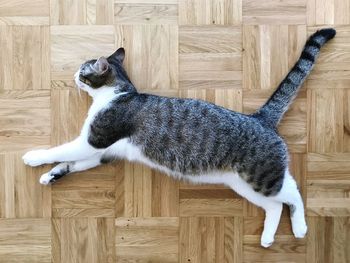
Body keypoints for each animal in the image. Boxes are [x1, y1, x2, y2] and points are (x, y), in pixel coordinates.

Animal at [22, 27, 336, 249]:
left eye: (84, 70)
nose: (74, 73)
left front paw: (34, 157)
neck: (119, 93)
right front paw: (52, 175)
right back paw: (269, 237)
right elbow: (72, 163)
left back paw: (300, 228)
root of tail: (260, 118)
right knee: (276, 202)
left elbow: (60, 150)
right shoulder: (104, 152)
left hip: (261, 177)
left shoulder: (94, 139)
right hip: (245, 183)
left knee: (292, 193)